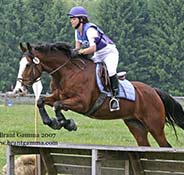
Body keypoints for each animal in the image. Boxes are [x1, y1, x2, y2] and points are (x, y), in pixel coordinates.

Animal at [12, 42, 184, 146]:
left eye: (27, 65)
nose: (19, 89)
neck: (67, 73)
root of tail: (154, 91)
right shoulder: (58, 95)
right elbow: (42, 101)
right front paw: (52, 122)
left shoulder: (81, 103)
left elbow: (57, 105)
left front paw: (67, 123)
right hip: (136, 125)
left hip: (154, 125)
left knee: (165, 146)